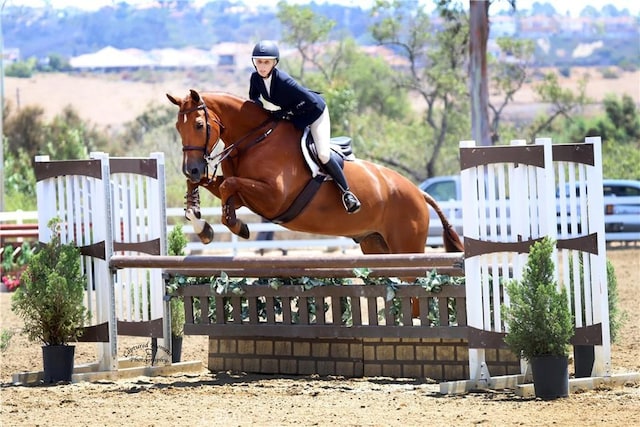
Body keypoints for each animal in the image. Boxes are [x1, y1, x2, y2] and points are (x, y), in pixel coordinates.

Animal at [168, 89, 462, 258]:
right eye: (178, 128)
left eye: (198, 124)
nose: (192, 168)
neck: (255, 138)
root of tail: (419, 192)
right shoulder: (246, 196)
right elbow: (213, 185)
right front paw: (202, 225)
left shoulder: (273, 197)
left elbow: (228, 185)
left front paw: (235, 225)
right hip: (377, 245)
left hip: (407, 246)